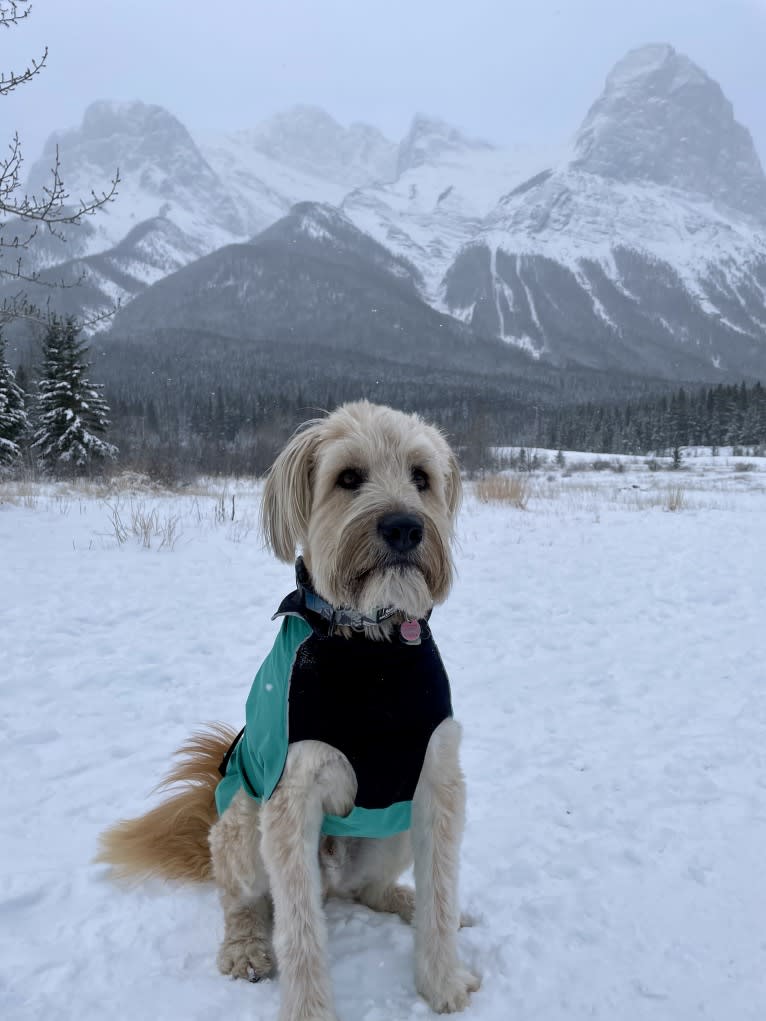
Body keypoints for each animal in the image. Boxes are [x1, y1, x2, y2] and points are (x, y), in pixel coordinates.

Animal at [97, 400, 480, 1021]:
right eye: (348, 477)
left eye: (421, 477)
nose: (405, 527)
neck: (370, 649)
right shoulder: (289, 800)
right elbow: (300, 930)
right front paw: (309, 1010)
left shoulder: (437, 783)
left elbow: (442, 894)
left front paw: (442, 981)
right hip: (241, 822)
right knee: (244, 902)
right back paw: (246, 948)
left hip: (389, 831)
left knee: (368, 890)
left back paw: (404, 899)